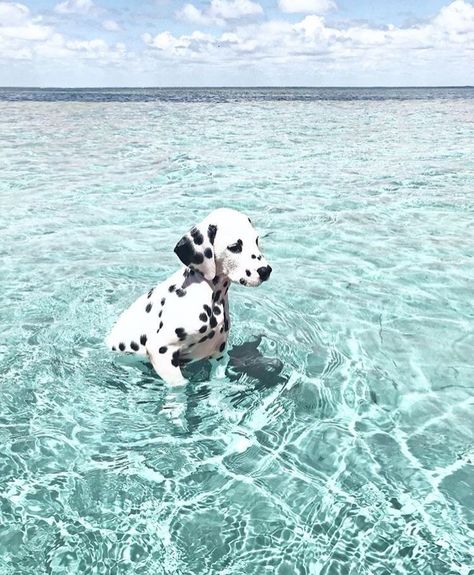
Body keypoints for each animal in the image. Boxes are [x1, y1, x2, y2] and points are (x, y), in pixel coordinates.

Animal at [105, 208, 272, 388]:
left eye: (256, 240)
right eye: (234, 247)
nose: (266, 270)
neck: (211, 297)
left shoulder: (219, 353)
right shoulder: (161, 350)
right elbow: (180, 386)